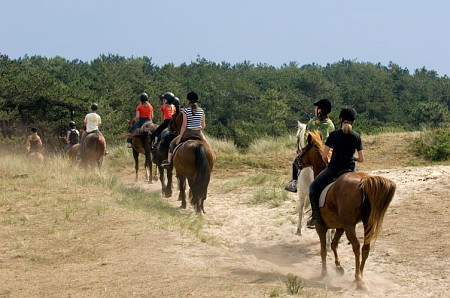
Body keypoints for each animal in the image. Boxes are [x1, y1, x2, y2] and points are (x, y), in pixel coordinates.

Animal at [296, 130, 394, 288]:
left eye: (304, 149)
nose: (297, 161)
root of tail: (363, 181)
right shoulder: (340, 227)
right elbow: (334, 244)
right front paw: (338, 267)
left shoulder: (321, 227)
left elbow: (323, 250)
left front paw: (324, 273)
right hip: (366, 223)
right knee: (365, 247)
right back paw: (360, 275)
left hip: (349, 226)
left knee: (356, 246)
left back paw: (358, 278)